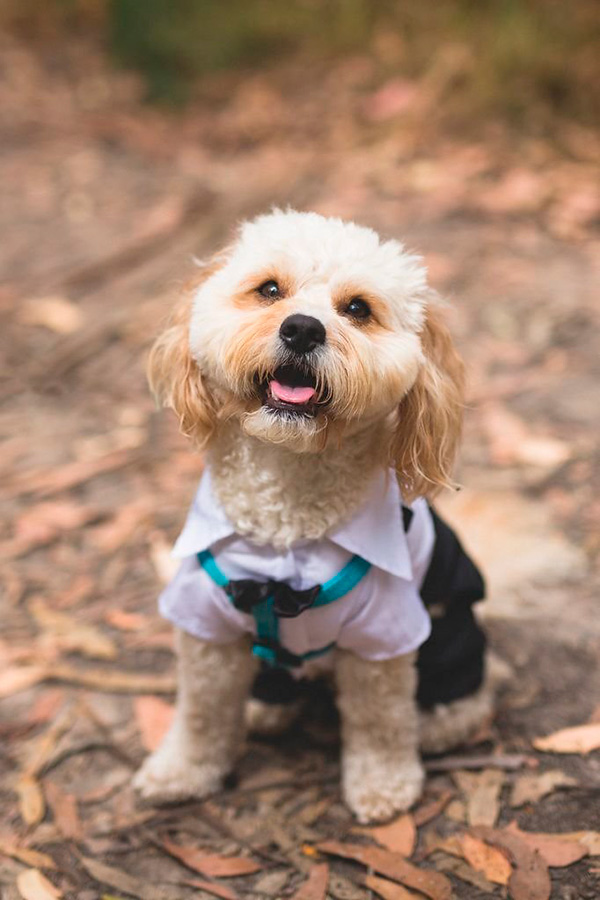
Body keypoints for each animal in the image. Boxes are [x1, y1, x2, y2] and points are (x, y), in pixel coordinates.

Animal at [134, 209, 504, 824]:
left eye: (357, 308)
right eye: (269, 290)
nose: (303, 330)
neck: (288, 505)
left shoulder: (383, 635)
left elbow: (380, 721)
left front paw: (384, 785)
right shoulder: (205, 623)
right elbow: (202, 712)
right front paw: (180, 771)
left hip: (450, 638)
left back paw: (440, 723)